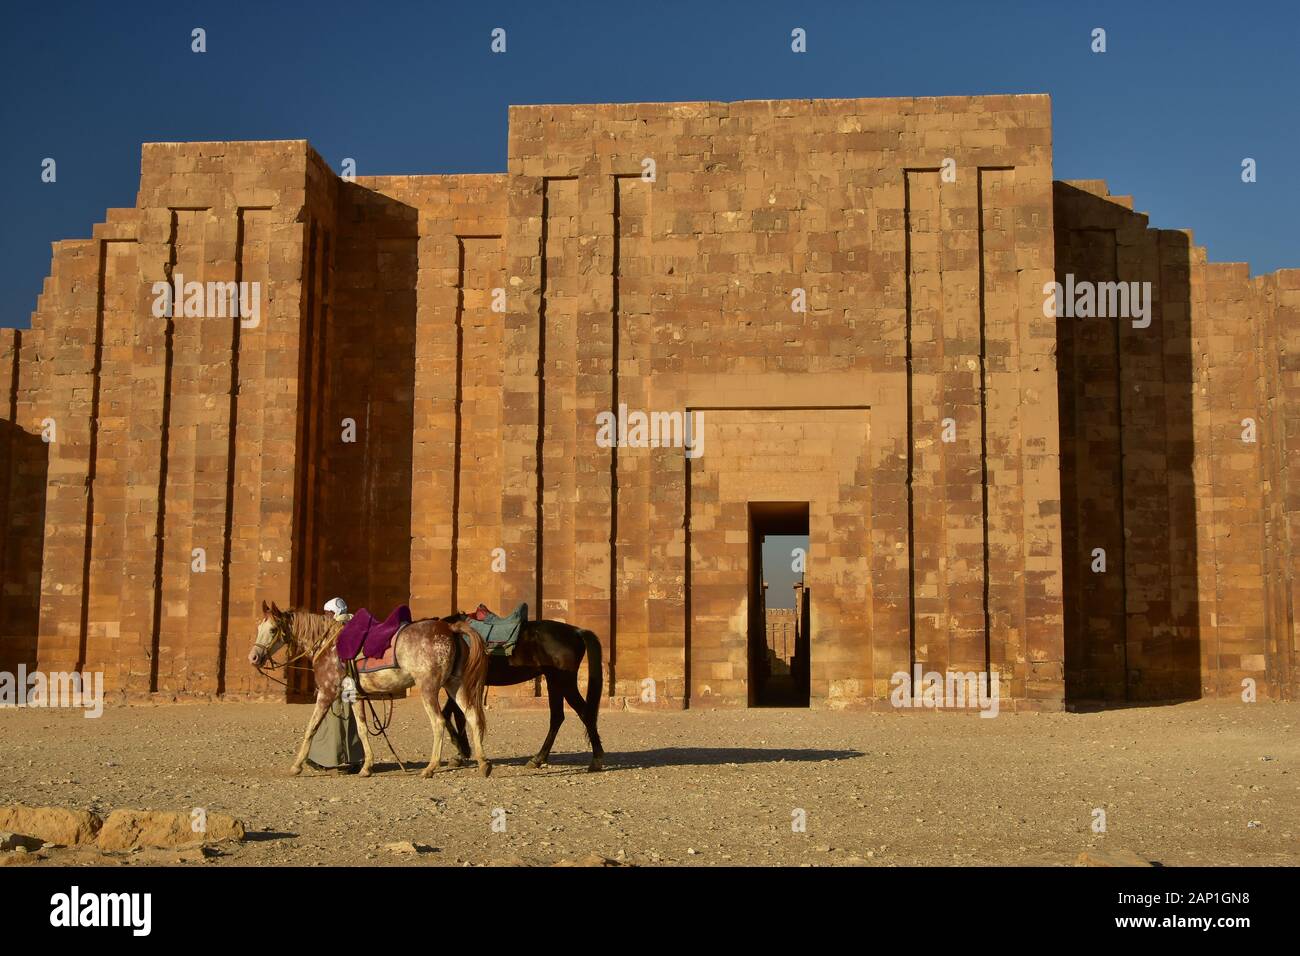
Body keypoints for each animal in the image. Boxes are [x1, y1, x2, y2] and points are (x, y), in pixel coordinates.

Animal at [248, 600, 491, 780]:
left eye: (272, 629)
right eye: (258, 627)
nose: (254, 657)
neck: (328, 643)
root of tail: (450, 628)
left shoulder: (327, 692)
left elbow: (311, 728)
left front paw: (296, 766)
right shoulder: (354, 695)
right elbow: (363, 728)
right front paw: (366, 767)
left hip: (428, 687)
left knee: (439, 722)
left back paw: (430, 768)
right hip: (454, 684)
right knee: (472, 716)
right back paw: (482, 763)